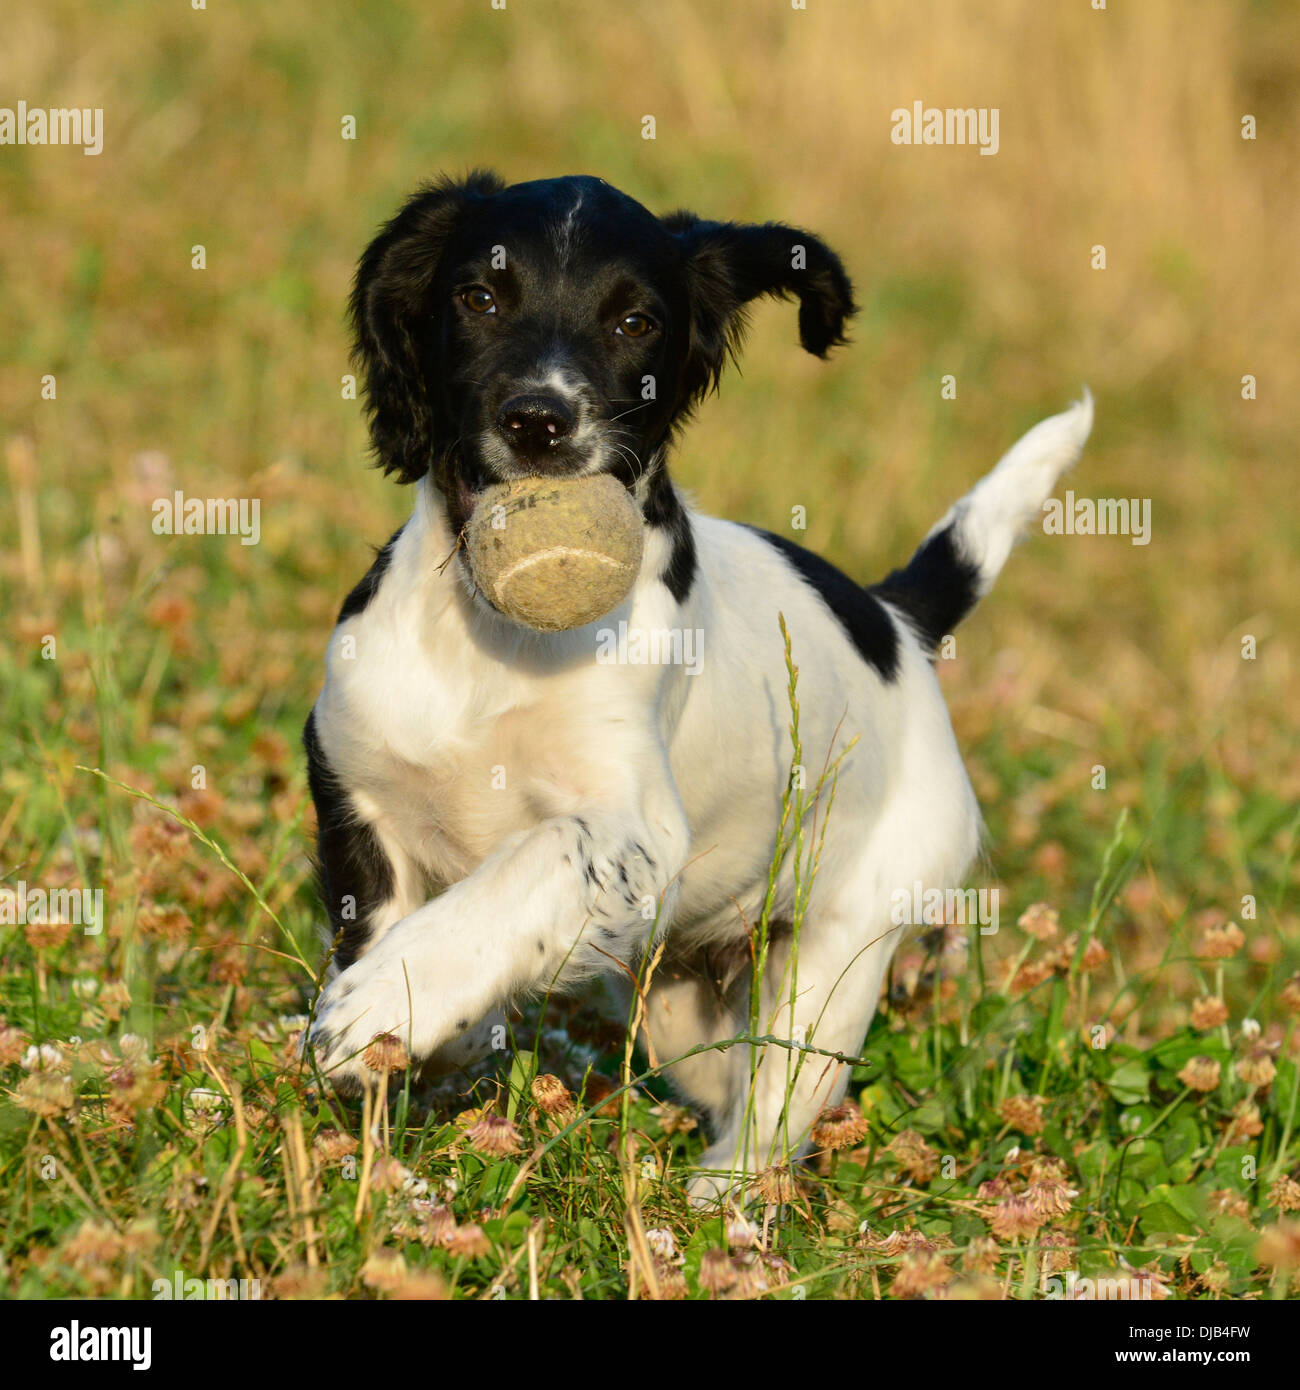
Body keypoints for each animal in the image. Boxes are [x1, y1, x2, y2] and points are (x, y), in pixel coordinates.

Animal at [303, 170, 1090, 1195]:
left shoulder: (632, 828)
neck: (490, 642)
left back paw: (726, 1199)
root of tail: (899, 622)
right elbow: (393, 933)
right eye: (477, 298)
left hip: (838, 956)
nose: (539, 421)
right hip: (683, 1001)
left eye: (635, 322)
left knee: (775, 1108)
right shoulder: (358, 789)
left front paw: (391, 1001)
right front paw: (407, 1050)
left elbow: (526, 865)